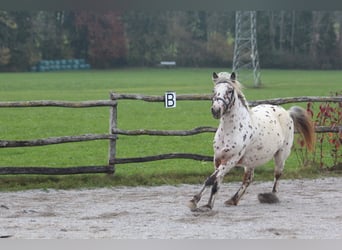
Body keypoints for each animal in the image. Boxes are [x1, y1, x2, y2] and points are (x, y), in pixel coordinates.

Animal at [187, 71, 316, 212]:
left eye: (230, 91)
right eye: (214, 90)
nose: (216, 110)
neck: (230, 130)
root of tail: (287, 112)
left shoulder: (231, 159)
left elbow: (211, 179)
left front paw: (194, 201)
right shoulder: (218, 158)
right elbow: (216, 181)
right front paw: (208, 205)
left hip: (281, 155)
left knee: (277, 175)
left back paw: (271, 197)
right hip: (251, 160)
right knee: (248, 179)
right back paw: (233, 200)